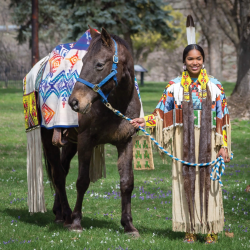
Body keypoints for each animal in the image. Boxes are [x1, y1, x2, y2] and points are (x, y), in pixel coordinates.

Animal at [42, 27, 142, 236]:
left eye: (99, 64)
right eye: (83, 61)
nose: (74, 102)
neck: (115, 105)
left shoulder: (126, 142)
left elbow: (127, 182)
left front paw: (128, 225)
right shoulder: (86, 141)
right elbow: (82, 181)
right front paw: (76, 222)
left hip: (70, 144)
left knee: (62, 169)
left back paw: (59, 213)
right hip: (49, 139)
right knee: (58, 175)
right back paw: (67, 215)